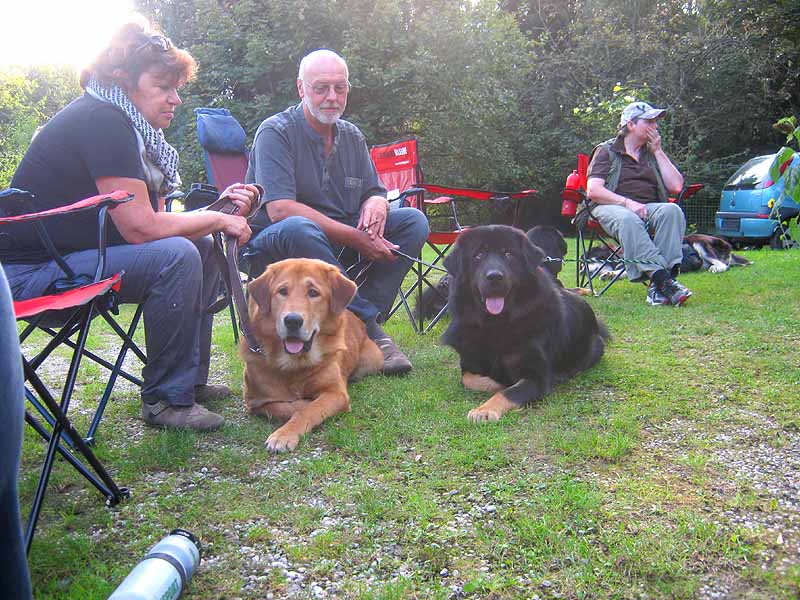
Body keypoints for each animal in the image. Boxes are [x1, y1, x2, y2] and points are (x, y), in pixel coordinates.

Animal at [241, 258, 384, 450]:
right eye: (282, 291)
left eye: (313, 293)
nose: (293, 320)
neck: (295, 364)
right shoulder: (255, 400)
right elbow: (287, 407)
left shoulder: (335, 392)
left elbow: (308, 410)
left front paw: (284, 435)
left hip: (373, 359)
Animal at [438, 225, 608, 422]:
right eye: (478, 255)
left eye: (508, 254)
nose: (494, 277)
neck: (495, 325)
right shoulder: (468, 365)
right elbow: (469, 379)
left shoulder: (537, 377)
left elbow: (508, 392)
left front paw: (485, 409)